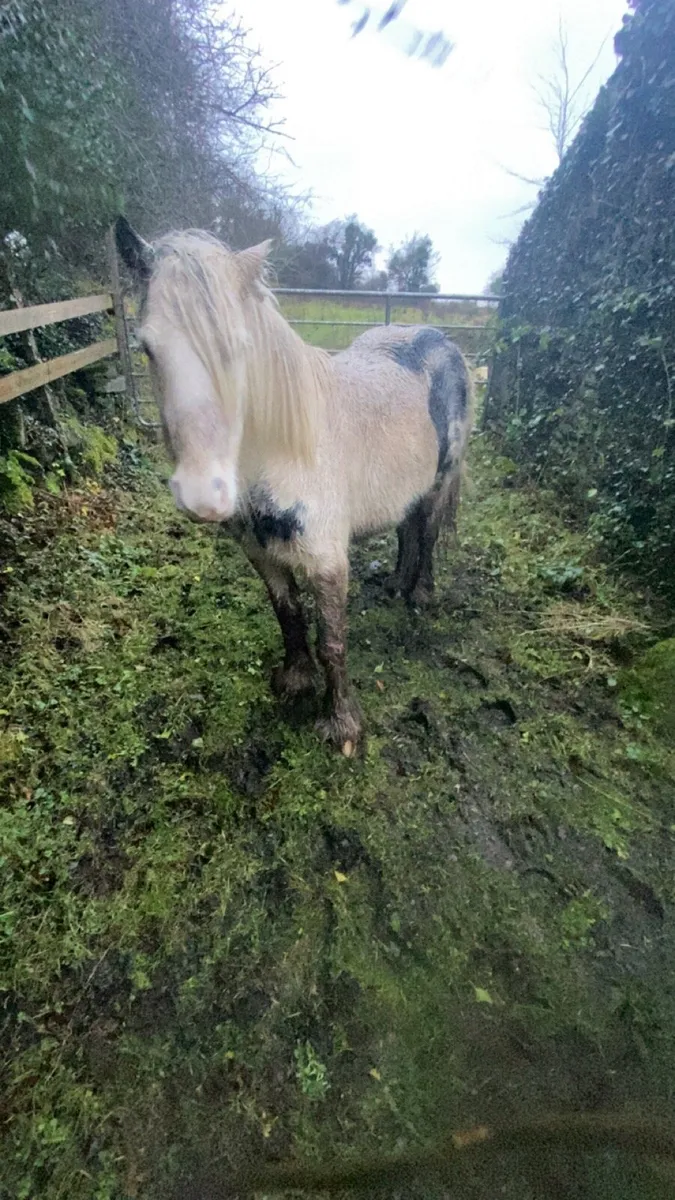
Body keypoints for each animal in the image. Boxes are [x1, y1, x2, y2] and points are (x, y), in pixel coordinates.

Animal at [114, 217, 473, 755]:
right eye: (147, 348)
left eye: (240, 349)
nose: (204, 495)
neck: (284, 452)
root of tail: (440, 340)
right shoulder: (261, 554)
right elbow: (288, 614)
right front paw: (296, 680)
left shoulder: (327, 562)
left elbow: (333, 642)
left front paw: (342, 726)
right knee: (407, 529)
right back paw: (395, 585)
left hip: (439, 482)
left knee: (426, 534)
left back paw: (420, 595)